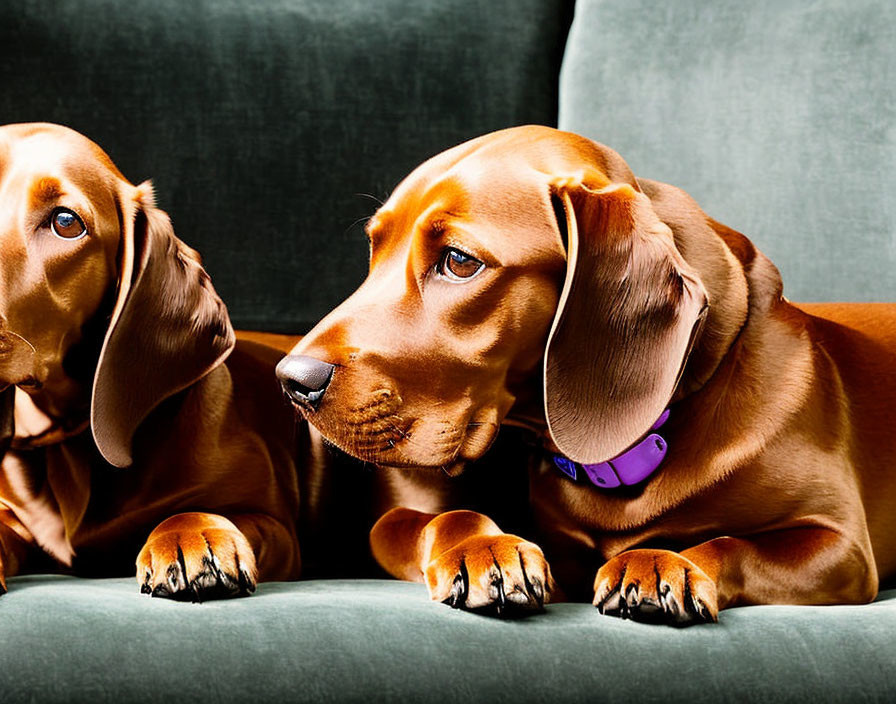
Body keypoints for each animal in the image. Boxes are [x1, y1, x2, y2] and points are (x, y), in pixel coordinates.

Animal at [280, 125, 896, 620]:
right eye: (374, 249)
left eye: (458, 261)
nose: (293, 380)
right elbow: (447, 517)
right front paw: (482, 551)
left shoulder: (837, 544)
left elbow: (730, 544)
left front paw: (660, 561)